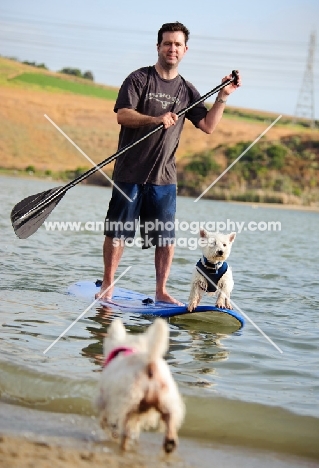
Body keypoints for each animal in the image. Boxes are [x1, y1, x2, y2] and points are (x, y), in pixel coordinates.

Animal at [94, 316, 185, 452]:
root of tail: (150, 365)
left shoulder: (105, 401)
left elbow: (105, 420)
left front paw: (111, 432)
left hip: (128, 405)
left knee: (125, 431)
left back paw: (123, 446)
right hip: (167, 403)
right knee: (170, 426)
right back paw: (169, 443)